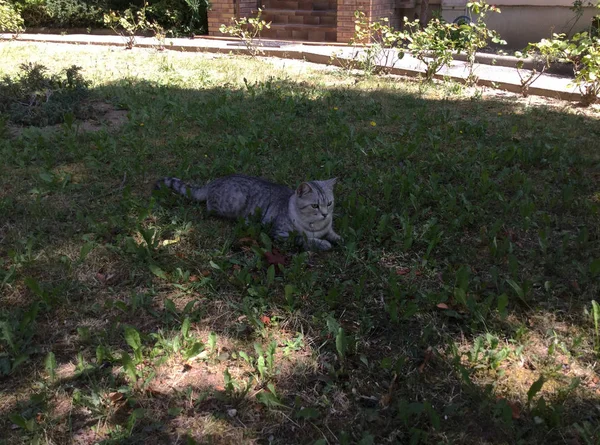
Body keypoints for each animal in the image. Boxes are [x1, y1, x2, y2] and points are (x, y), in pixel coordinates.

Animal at [155, 173, 342, 250]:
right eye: (315, 206)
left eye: (329, 203)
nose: (325, 214)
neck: (316, 226)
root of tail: (212, 182)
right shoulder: (281, 234)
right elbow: (303, 239)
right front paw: (323, 244)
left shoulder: (328, 229)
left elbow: (335, 235)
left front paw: (339, 240)